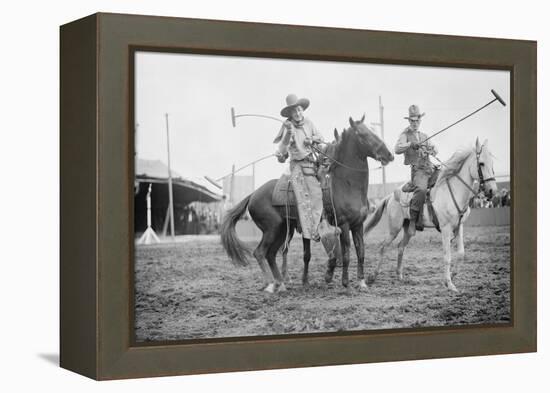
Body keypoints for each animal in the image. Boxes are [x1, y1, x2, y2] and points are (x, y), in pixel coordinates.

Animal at [222, 116, 394, 290]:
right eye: (362, 134)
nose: (389, 155)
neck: (346, 185)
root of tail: (253, 194)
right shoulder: (344, 224)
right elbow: (346, 254)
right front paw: (345, 282)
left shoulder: (358, 225)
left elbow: (361, 253)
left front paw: (361, 282)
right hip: (271, 229)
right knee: (260, 252)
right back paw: (271, 283)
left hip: (282, 230)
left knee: (271, 254)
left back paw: (280, 283)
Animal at [366, 139, 500, 290]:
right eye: (481, 163)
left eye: (492, 163)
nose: (492, 191)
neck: (454, 191)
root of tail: (391, 196)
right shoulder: (446, 228)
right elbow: (447, 256)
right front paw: (449, 283)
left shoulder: (459, 227)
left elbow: (461, 253)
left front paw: (453, 275)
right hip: (394, 228)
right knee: (383, 247)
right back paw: (372, 277)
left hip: (408, 228)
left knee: (401, 247)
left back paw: (399, 276)